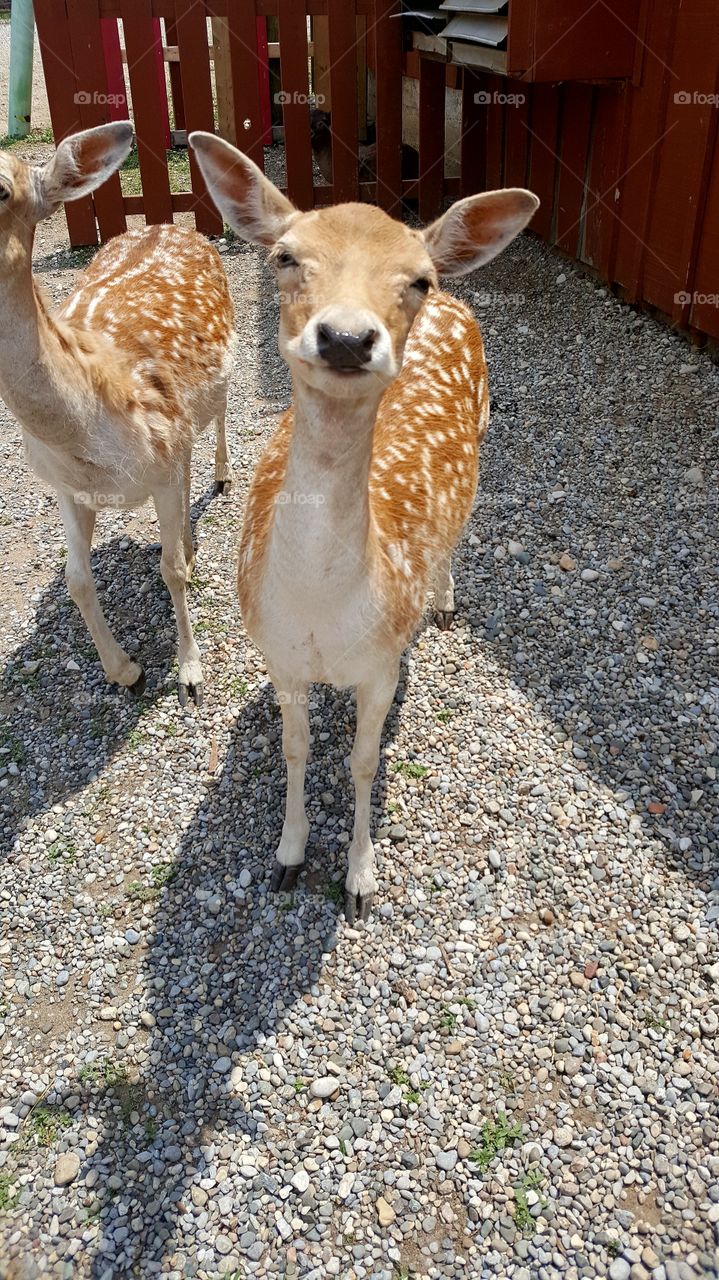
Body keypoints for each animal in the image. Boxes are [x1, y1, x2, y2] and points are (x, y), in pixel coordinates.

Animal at [0, 122, 236, 706]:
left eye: (2, 190)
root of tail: (170, 224)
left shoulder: (160, 465)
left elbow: (168, 570)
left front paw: (190, 673)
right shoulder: (65, 487)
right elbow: (76, 580)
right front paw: (125, 671)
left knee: (219, 416)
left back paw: (221, 479)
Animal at [190, 131, 538, 922]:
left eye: (416, 279)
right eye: (284, 256)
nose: (347, 337)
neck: (324, 611)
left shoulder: (379, 666)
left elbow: (362, 761)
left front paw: (358, 878)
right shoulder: (278, 656)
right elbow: (294, 748)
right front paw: (287, 857)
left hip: (484, 436)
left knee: (459, 537)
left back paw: (444, 603)